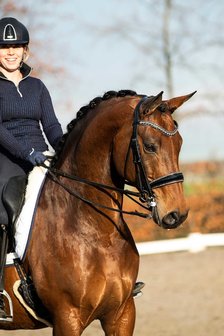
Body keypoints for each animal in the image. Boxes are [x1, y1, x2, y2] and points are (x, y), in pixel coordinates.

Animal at [0, 88, 195, 334]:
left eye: (179, 144)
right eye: (150, 146)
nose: (177, 214)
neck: (97, 233)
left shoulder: (122, 314)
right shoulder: (67, 319)